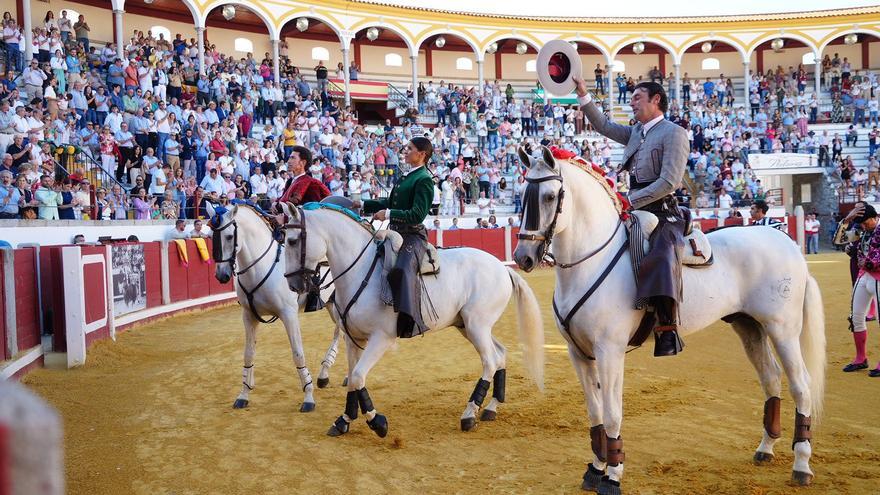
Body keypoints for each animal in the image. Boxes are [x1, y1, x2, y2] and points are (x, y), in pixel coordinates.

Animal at [208, 202, 342, 414]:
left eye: (229, 236)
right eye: (211, 236)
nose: (222, 275)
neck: (261, 266)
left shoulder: (289, 314)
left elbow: (298, 354)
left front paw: (308, 398)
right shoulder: (248, 316)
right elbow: (248, 354)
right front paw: (243, 394)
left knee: (342, 332)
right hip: (329, 303)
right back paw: (325, 375)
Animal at [280, 203, 544, 440]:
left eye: (292, 241)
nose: (292, 285)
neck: (361, 271)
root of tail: (502, 267)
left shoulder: (381, 338)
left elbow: (357, 377)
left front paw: (377, 422)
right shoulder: (354, 339)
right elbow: (353, 377)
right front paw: (344, 421)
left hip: (476, 325)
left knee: (490, 361)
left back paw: (469, 414)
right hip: (469, 326)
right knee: (500, 354)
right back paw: (490, 408)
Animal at [512, 146, 828, 492]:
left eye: (549, 196)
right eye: (522, 194)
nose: (522, 257)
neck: (590, 261)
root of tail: (787, 243)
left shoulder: (610, 351)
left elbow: (612, 412)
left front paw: (613, 476)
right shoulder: (578, 353)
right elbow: (594, 412)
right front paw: (595, 469)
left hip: (782, 329)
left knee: (801, 385)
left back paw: (801, 465)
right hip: (748, 325)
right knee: (770, 378)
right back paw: (766, 448)